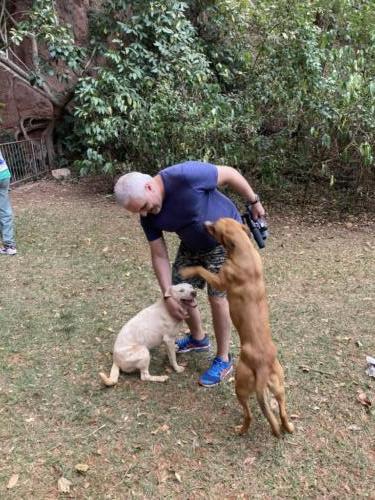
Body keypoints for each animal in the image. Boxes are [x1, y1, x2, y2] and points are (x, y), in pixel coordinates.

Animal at [181, 217, 296, 436]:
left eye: (215, 228)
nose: (204, 222)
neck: (244, 250)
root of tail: (262, 366)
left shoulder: (219, 280)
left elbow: (201, 269)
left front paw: (186, 270)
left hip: (240, 386)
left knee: (248, 415)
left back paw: (240, 430)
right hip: (279, 386)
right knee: (283, 411)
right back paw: (288, 427)